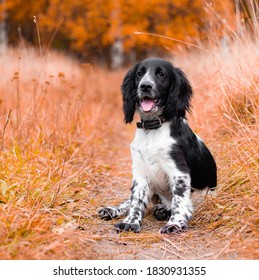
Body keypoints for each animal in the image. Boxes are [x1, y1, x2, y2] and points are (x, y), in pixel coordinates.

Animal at [97, 58, 217, 234]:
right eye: (139, 73)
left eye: (161, 74)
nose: (145, 86)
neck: (152, 129)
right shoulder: (139, 172)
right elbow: (136, 200)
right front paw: (130, 222)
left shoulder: (179, 171)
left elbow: (179, 200)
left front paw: (175, 223)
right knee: (129, 200)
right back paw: (111, 210)